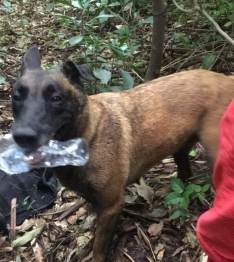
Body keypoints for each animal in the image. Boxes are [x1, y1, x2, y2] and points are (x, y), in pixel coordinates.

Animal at [11, 46, 234, 260]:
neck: (89, 136)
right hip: (180, 147)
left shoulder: (111, 205)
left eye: (56, 98)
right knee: (185, 173)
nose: (22, 136)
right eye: (16, 97)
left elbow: (99, 247)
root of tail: (226, 78)